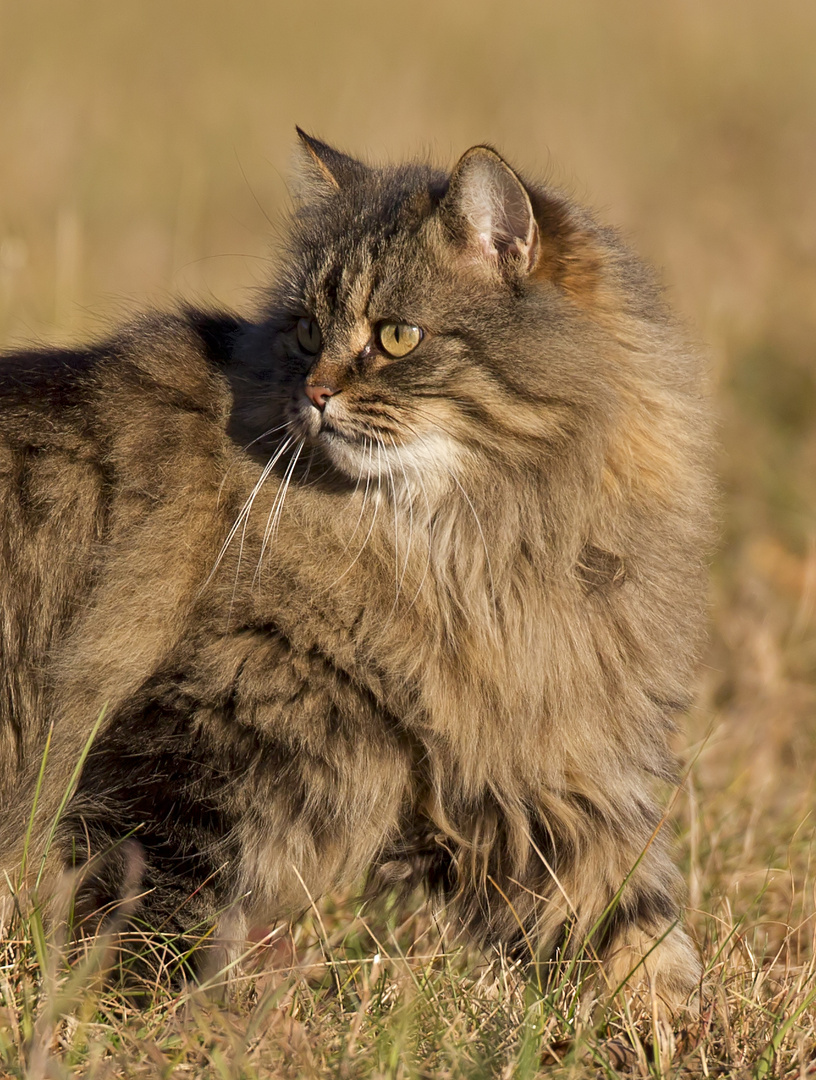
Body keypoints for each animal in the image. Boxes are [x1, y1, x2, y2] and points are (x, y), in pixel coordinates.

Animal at [0, 128, 708, 1010]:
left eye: (396, 336)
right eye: (307, 329)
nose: (315, 393)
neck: (470, 551)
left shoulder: (538, 762)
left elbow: (636, 933)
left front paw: (673, 1024)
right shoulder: (196, 729)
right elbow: (149, 905)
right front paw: (143, 1019)